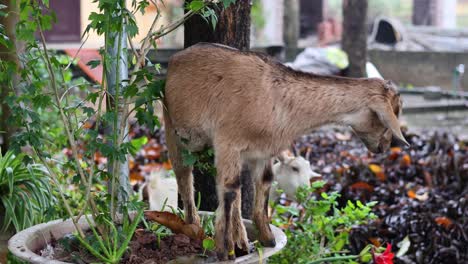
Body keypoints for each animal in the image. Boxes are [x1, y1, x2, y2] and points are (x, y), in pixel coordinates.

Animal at [163, 41, 408, 260]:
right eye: (390, 115)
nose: (383, 147)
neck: (276, 99)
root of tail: (175, 58)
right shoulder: (228, 142)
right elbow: (230, 190)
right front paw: (225, 252)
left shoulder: (261, 151)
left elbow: (263, 183)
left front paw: (268, 240)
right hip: (173, 129)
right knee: (184, 176)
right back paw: (195, 227)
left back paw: (242, 241)